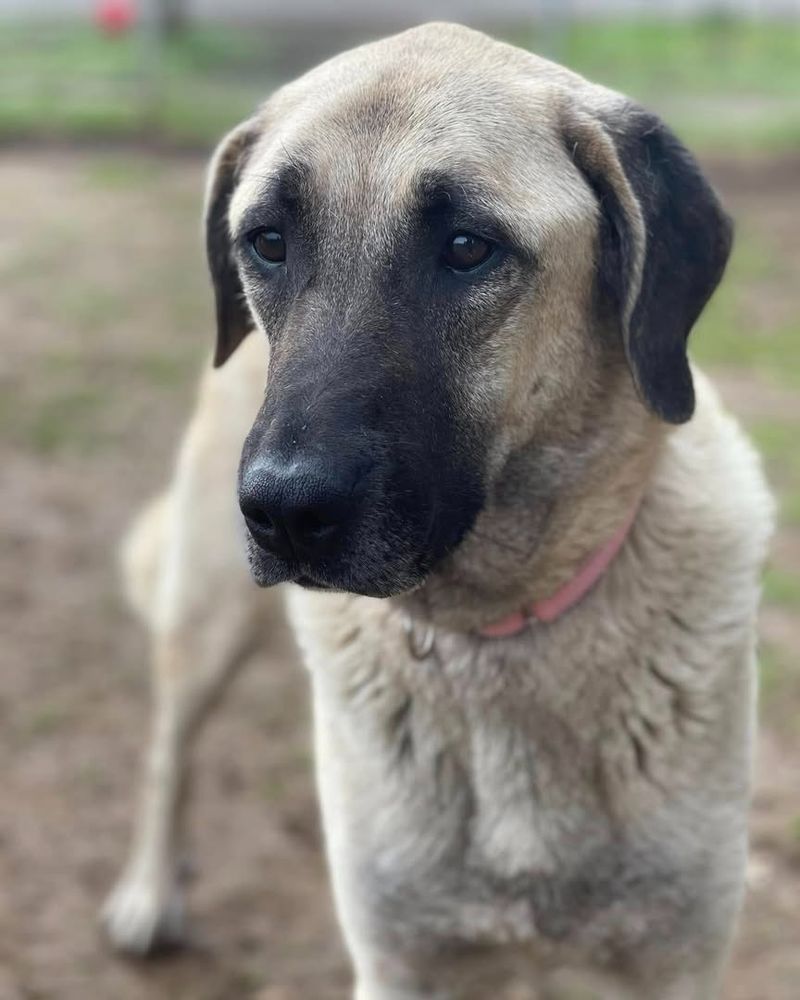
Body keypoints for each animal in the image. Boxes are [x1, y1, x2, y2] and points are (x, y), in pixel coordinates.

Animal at [100, 19, 776, 996]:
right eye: (267, 241)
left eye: (466, 247)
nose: (282, 509)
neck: (503, 634)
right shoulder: (401, 960)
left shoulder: (674, 959)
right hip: (207, 615)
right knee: (167, 752)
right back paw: (150, 892)